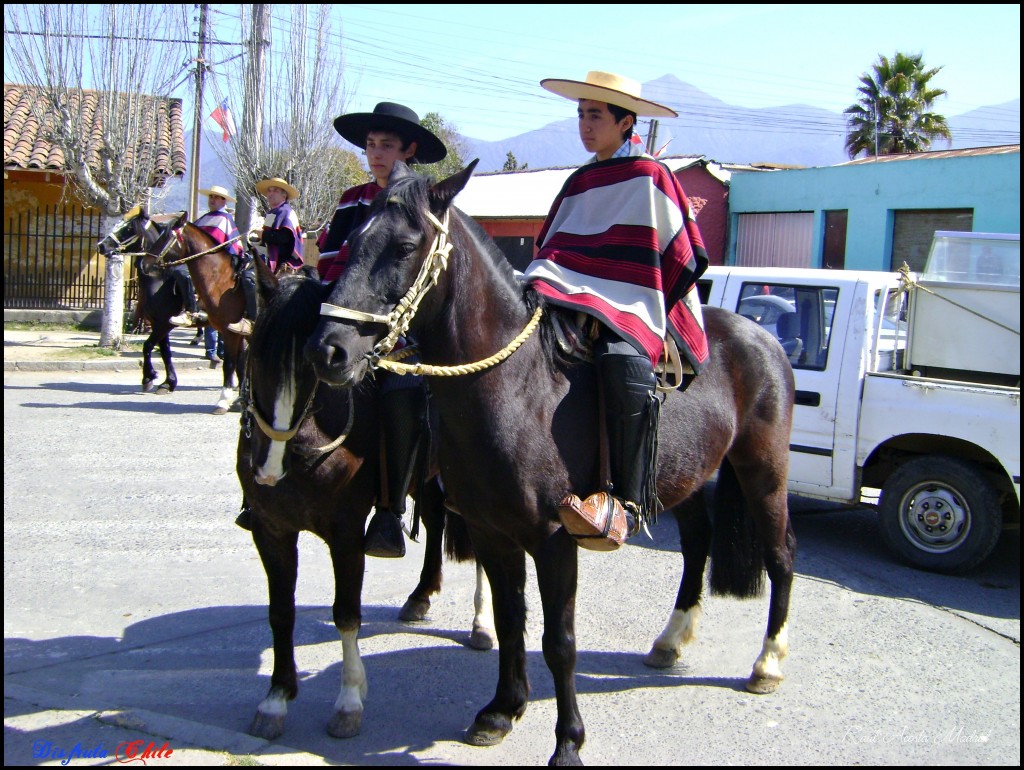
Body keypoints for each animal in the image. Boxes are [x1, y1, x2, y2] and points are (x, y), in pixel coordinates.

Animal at [240, 262, 495, 741]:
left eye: (310, 368)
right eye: (255, 355)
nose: (267, 471)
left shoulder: (344, 532)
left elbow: (346, 613)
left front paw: (348, 701)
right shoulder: (271, 530)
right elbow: (280, 613)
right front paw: (275, 699)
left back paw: (481, 624)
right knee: (436, 521)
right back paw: (420, 596)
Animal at [303, 162, 798, 765]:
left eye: (403, 246)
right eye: (351, 241)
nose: (328, 350)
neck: (517, 389)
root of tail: (762, 336)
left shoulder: (555, 539)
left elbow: (559, 641)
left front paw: (567, 742)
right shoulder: (493, 532)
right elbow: (510, 619)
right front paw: (501, 710)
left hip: (762, 471)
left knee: (780, 554)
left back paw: (767, 662)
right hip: (683, 480)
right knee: (698, 544)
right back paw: (670, 640)